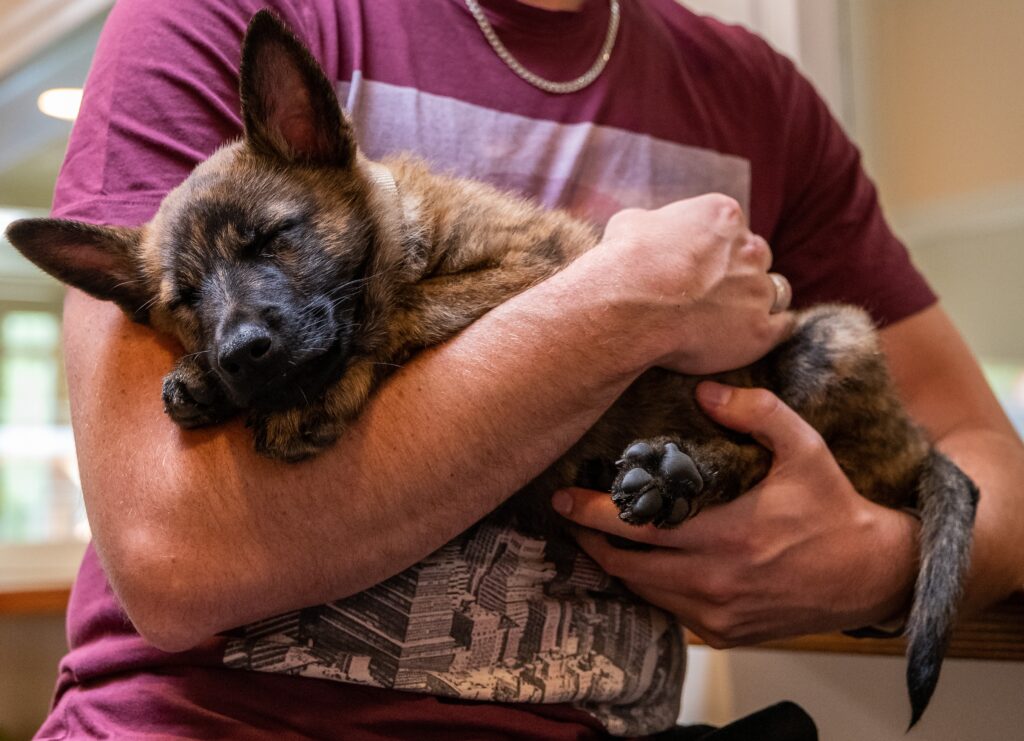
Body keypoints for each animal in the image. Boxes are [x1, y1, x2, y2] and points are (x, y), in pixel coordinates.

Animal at [6, 8, 974, 724]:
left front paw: (308, 391)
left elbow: (395, 309)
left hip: (829, 341)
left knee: (783, 455)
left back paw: (681, 470)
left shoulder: (534, 272)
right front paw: (211, 381)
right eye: (185, 298)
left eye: (274, 236)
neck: (409, 227)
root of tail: (915, 445)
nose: (243, 354)